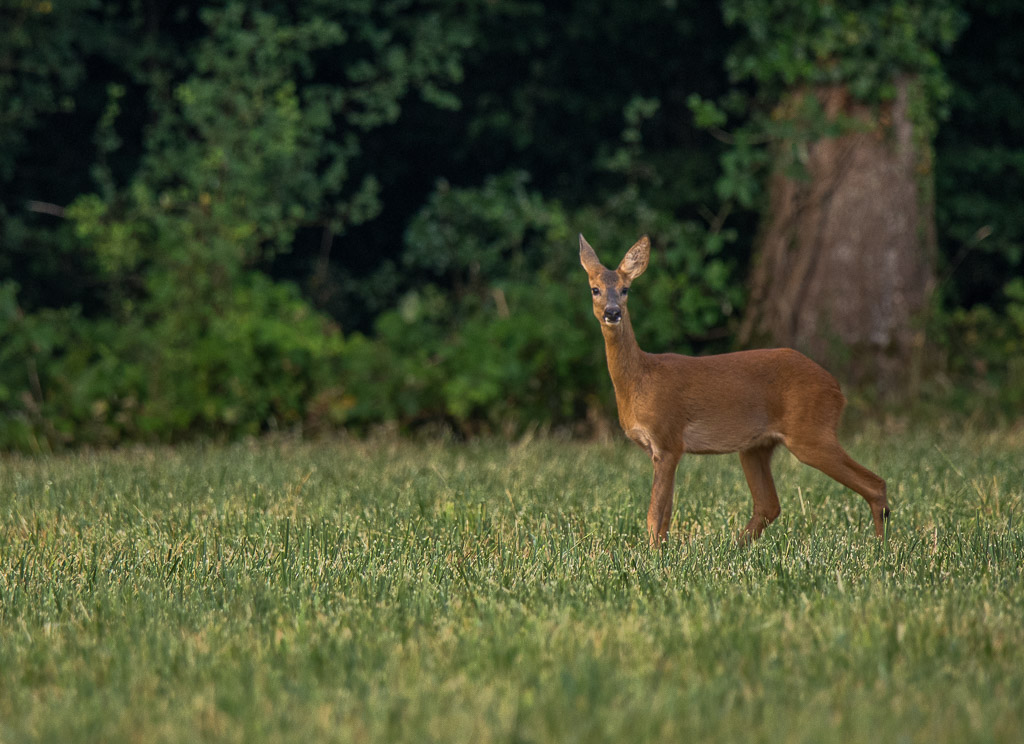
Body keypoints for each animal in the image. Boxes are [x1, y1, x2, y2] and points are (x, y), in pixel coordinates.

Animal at [581, 234, 892, 548]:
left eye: (625, 289)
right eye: (595, 289)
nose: (612, 312)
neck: (640, 379)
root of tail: (837, 389)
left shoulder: (669, 439)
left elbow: (654, 515)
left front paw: (655, 554)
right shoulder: (659, 449)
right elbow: (665, 514)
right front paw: (662, 551)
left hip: (810, 432)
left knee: (875, 483)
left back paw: (881, 548)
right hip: (757, 446)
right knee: (769, 504)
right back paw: (734, 548)